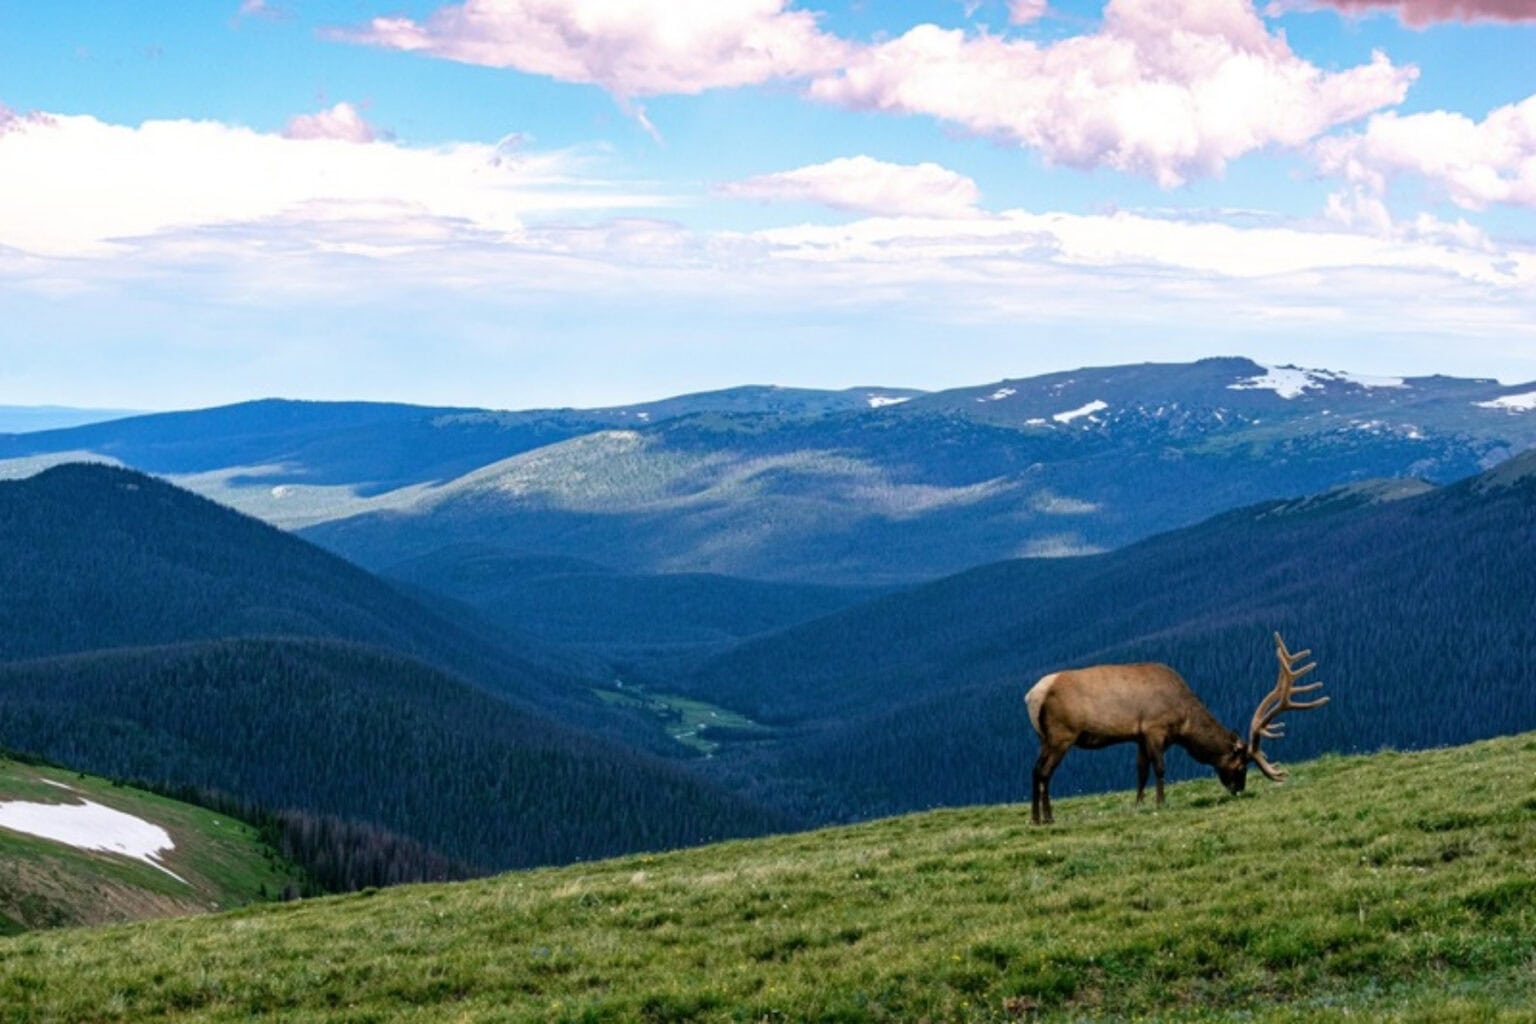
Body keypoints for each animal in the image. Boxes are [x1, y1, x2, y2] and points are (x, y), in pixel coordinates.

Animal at [1024, 633, 1327, 824]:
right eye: (1241, 765)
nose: (1239, 790)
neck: (1184, 723)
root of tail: (1033, 696)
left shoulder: (1139, 737)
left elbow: (1141, 772)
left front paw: (1139, 805)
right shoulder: (1154, 729)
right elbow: (1160, 768)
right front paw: (1161, 803)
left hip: (1045, 738)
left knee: (1036, 770)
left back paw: (1037, 817)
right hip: (1062, 735)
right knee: (1045, 772)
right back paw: (1047, 817)